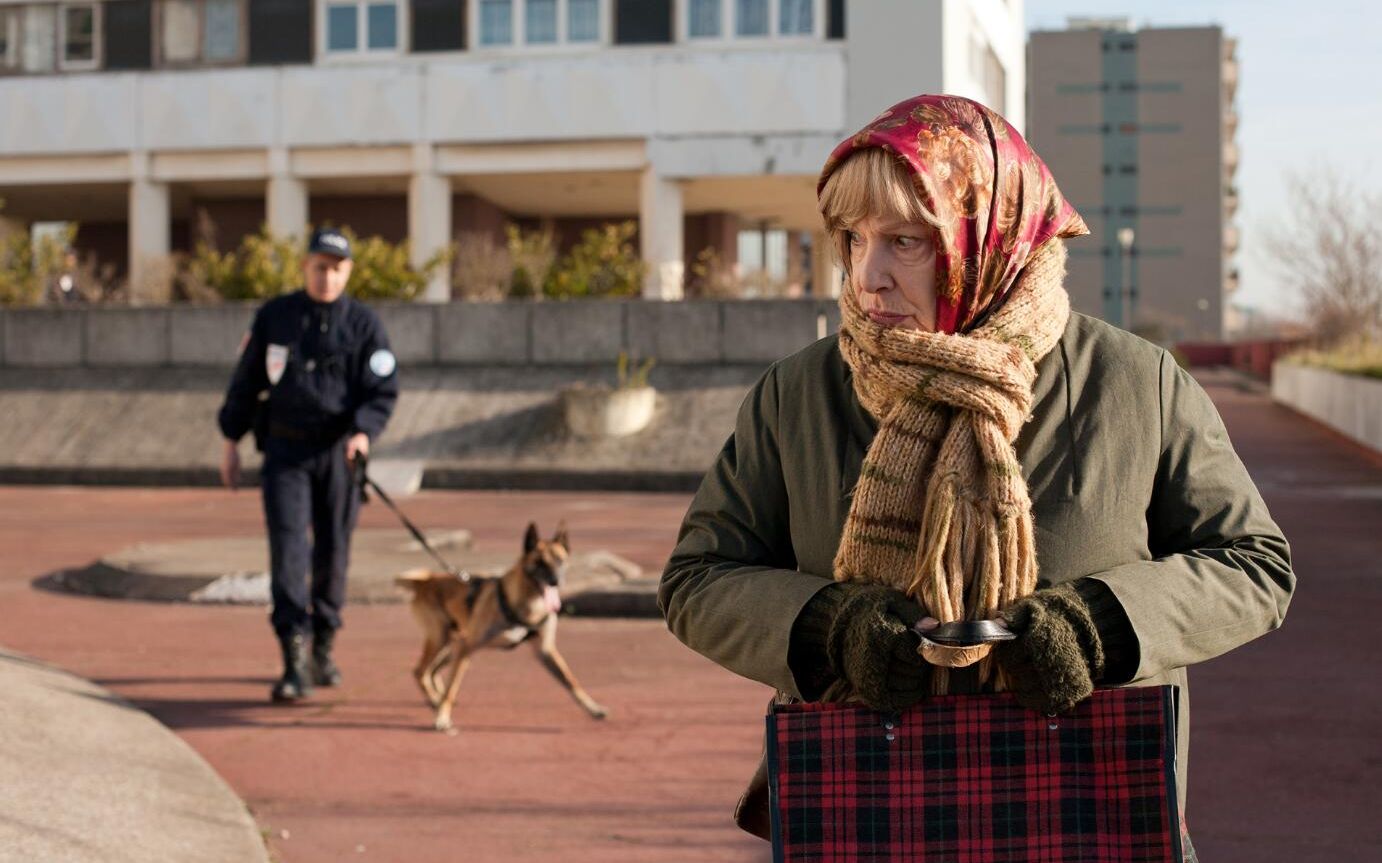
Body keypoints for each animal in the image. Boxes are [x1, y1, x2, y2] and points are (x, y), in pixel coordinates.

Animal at [389, 522, 605, 730]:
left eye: (560, 560)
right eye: (539, 562)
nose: (555, 581)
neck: (528, 603)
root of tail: (425, 580)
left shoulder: (545, 650)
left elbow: (571, 680)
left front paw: (593, 708)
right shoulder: (468, 646)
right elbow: (453, 687)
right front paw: (442, 719)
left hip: (453, 645)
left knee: (432, 671)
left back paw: (436, 698)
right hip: (443, 639)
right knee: (421, 672)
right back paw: (436, 701)